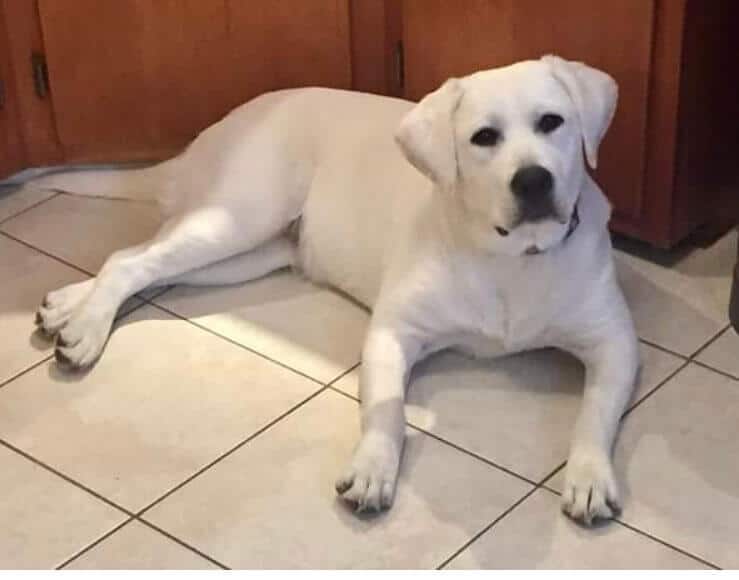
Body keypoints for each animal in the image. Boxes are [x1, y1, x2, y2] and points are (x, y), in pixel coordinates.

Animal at [28, 55, 640, 524]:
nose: (533, 180)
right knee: (134, 262)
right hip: (239, 217)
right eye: (483, 138)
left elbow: (594, 414)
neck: (513, 259)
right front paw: (372, 469)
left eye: (552, 121)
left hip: (250, 252)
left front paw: (588, 476)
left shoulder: (615, 344)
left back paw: (66, 309)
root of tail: (221, 125)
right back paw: (84, 332)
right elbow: (388, 413)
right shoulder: (393, 333)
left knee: (137, 260)